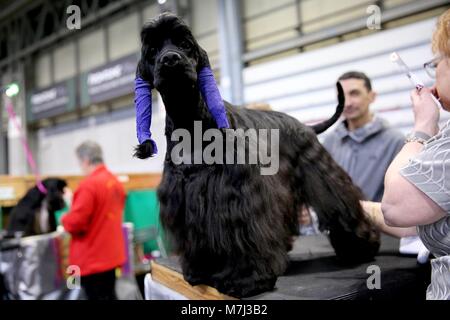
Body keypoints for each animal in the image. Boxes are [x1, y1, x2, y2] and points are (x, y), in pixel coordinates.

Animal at [136, 12, 380, 298]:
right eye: (153, 50)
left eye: (185, 44)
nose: (171, 60)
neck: (190, 118)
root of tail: (305, 126)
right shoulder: (186, 198)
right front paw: (199, 271)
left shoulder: (237, 195)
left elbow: (244, 238)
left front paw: (247, 279)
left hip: (320, 171)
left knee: (343, 204)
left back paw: (362, 247)